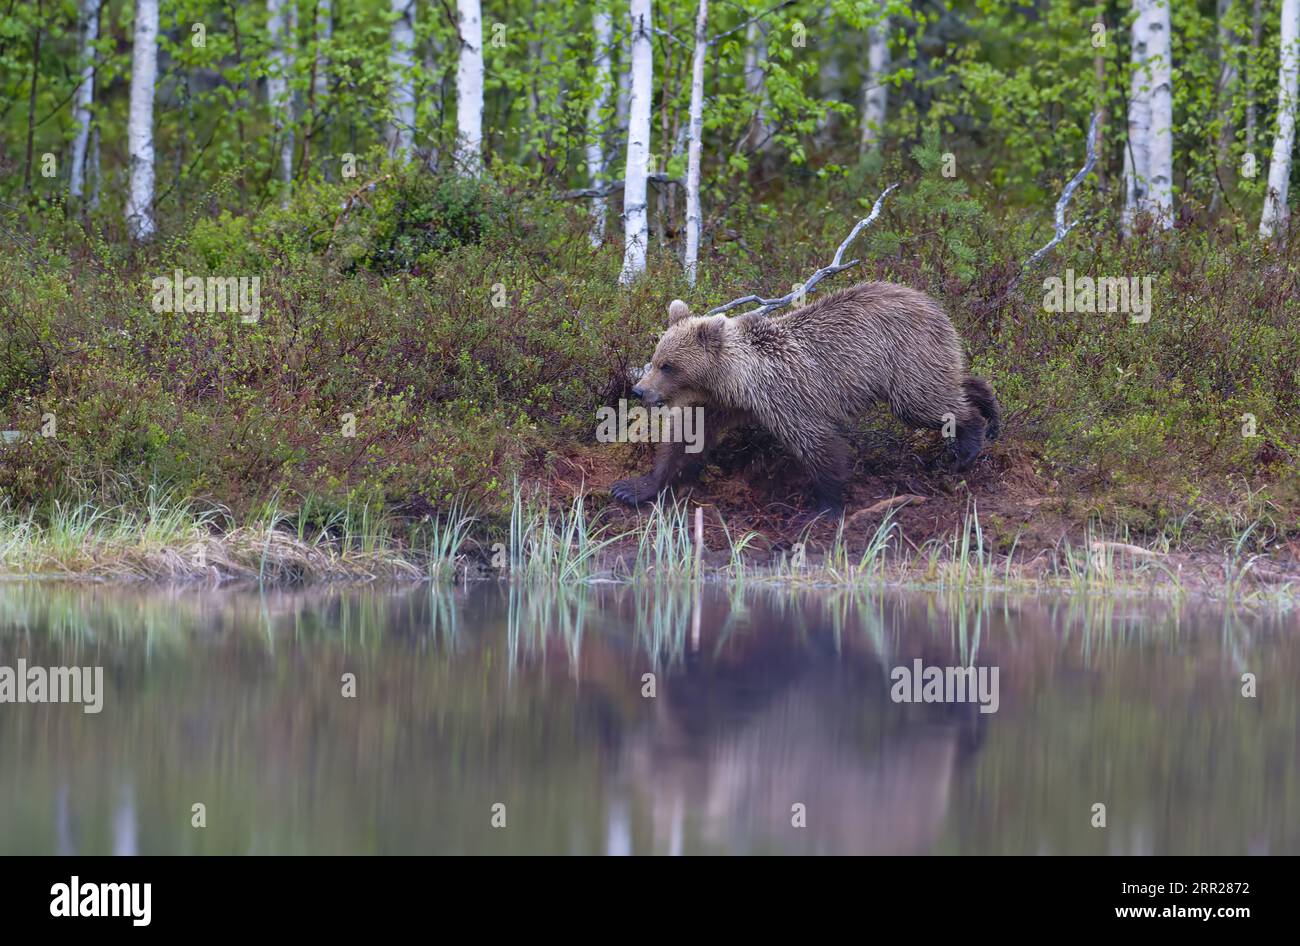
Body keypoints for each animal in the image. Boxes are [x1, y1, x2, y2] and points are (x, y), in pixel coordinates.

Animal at [611, 283, 1003, 509]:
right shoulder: (717, 403)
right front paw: (633, 488)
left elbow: (816, 442)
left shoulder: (786, 396)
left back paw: (968, 443)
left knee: (924, 402)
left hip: (904, 357)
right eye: (656, 358)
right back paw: (989, 406)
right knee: (949, 382)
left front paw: (826, 504)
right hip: (925, 357)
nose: (639, 390)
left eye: (668, 365)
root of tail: (933, 303)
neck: (735, 380)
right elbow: (685, 437)